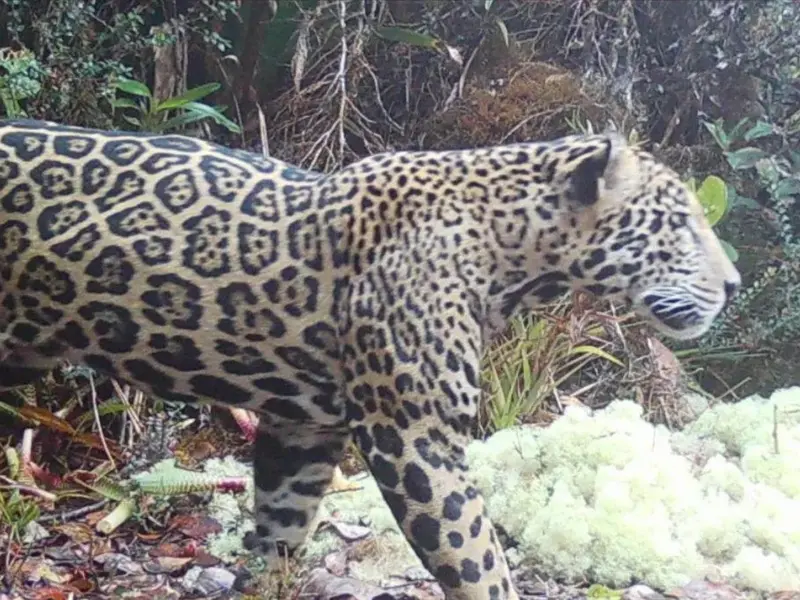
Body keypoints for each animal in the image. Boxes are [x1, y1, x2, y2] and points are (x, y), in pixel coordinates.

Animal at [0, 118, 740, 600]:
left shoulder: (302, 430)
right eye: (679, 224)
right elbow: (480, 562)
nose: (733, 285)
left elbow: (280, 533)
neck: (510, 253)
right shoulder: (415, 436)